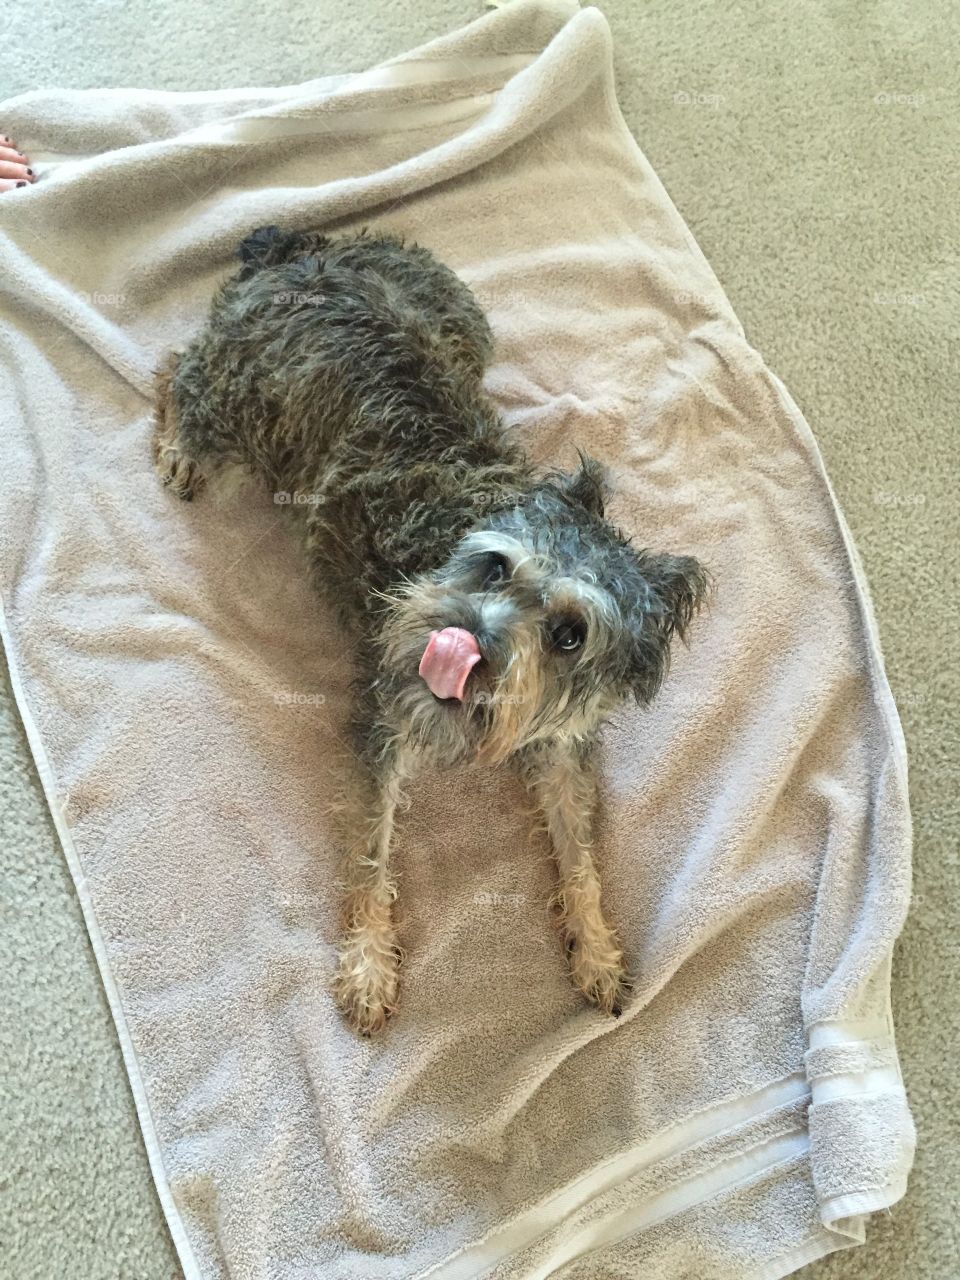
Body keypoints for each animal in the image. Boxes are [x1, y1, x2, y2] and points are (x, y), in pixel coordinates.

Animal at [150, 227, 706, 1029]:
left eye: (570, 634)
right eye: (497, 567)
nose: (459, 638)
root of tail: (298, 250)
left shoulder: (560, 750)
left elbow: (579, 853)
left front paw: (598, 949)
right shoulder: (388, 725)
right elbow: (372, 853)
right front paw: (368, 968)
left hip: (464, 318)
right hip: (238, 404)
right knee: (177, 372)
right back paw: (179, 450)